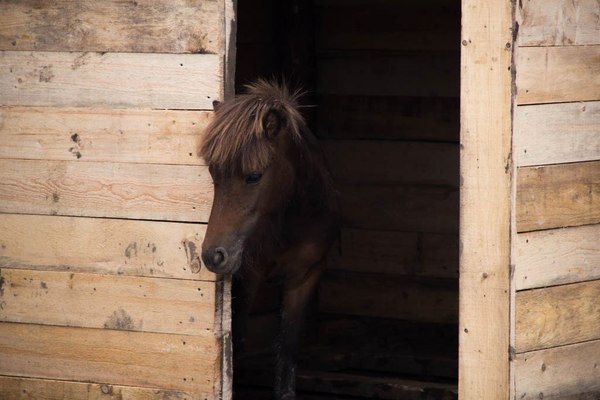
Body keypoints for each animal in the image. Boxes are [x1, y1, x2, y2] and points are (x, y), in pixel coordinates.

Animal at [200, 79, 338, 400]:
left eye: (253, 176)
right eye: (213, 173)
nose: (213, 255)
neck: (293, 222)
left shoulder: (306, 276)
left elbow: (287, 348)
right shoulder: (248, 278)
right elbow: (237, 342)